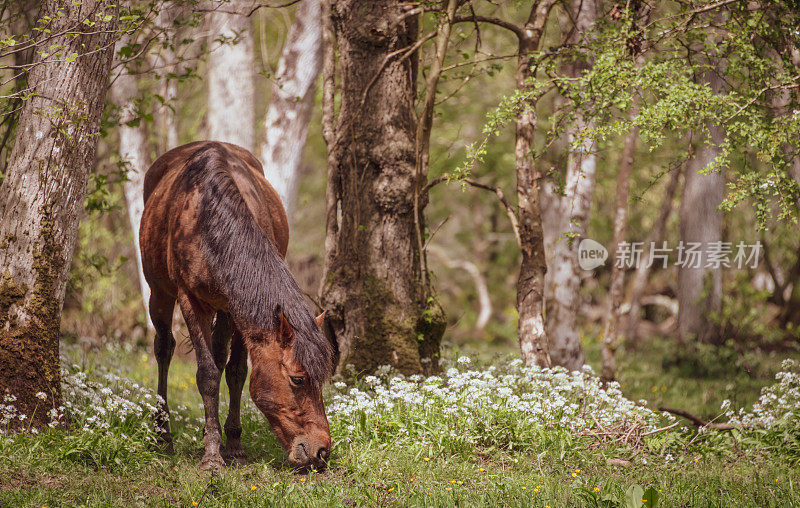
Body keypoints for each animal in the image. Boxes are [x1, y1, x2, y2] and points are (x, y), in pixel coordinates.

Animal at [139, 141, 336, 470]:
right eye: (298, 379)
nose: (321, 451)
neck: (209, 220)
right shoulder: (190, 299)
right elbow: (207, 374)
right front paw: (211, 457)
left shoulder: (239, 308)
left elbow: (236, 372)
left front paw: (232, 446)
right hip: (159, 294)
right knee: (164, 348)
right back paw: (163, 435)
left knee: (220, 358)